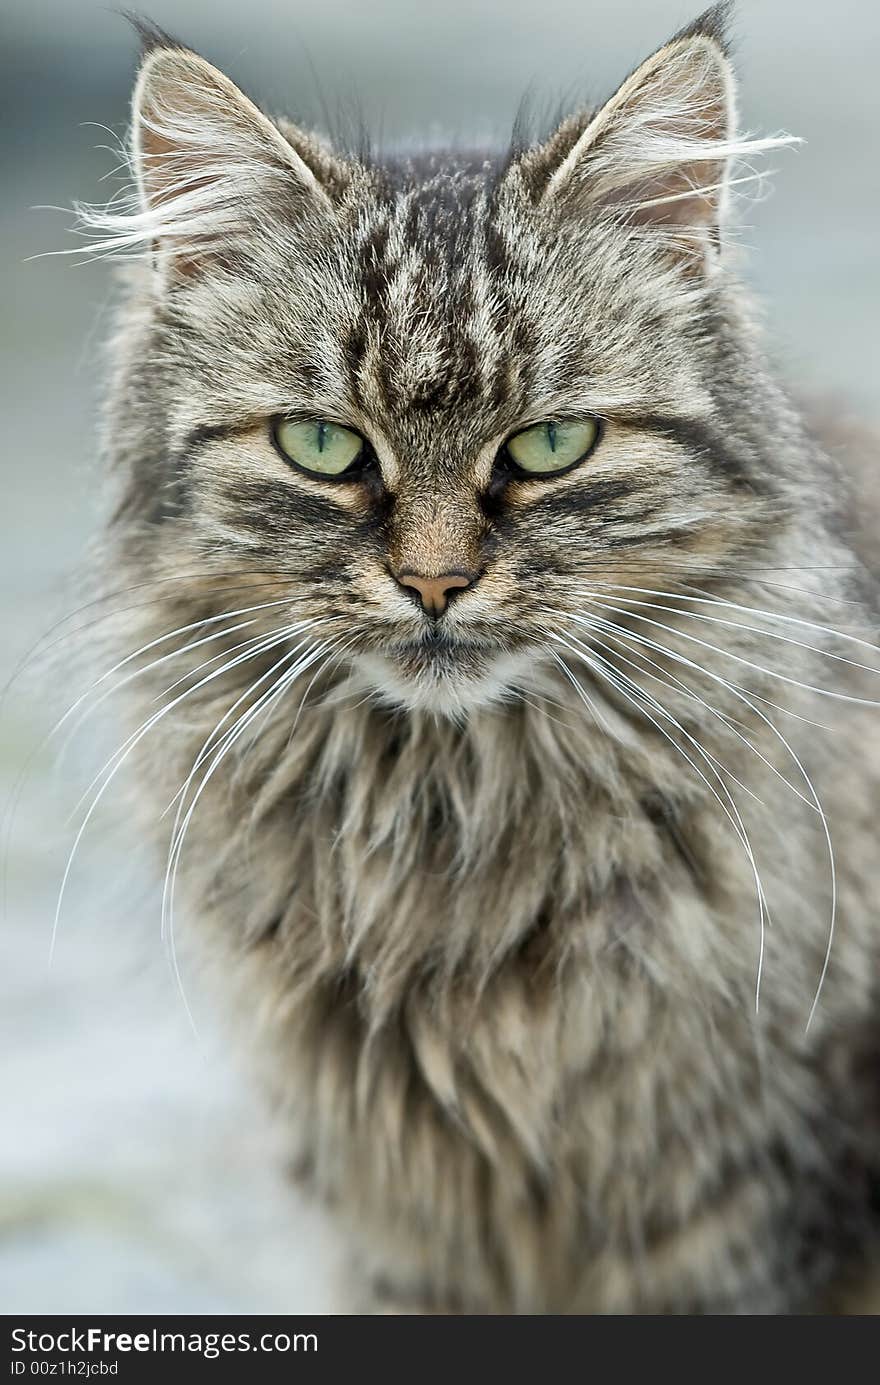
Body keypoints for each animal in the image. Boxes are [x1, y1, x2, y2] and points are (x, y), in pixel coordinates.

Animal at [75, 5, 880, 1312]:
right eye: (322, 446)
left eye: (552, 446)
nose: (437, 583)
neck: (450, 822)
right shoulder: (396, 1219)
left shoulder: (730, 1200)